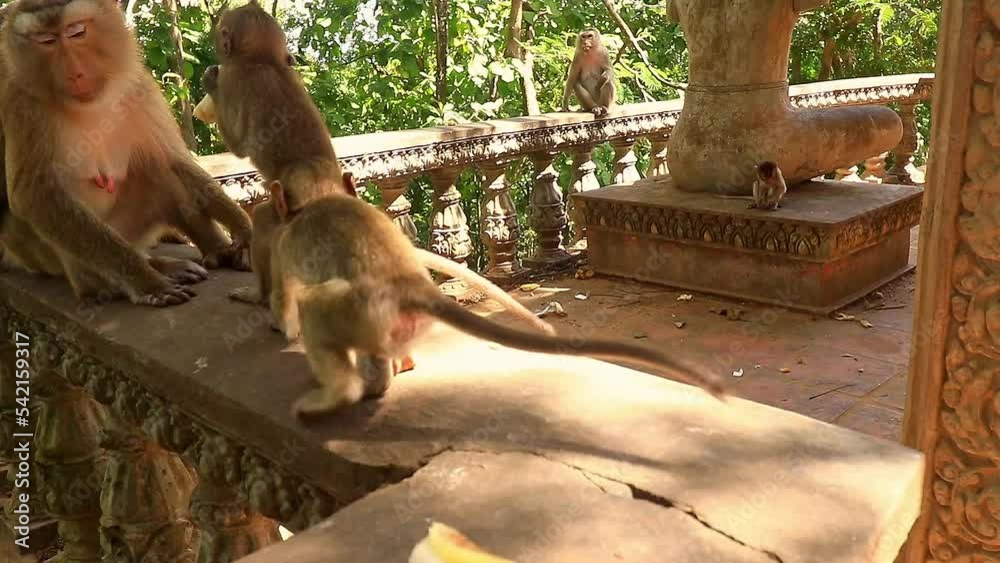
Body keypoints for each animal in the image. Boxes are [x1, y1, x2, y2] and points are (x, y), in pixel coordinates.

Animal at [0, 0, 254, 307]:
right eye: (46, 41)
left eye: (76, 32)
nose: (74, 72)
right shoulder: (21, 102)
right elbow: (35, 194)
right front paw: (149, 283)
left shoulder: (139, 86)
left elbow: (173, 159)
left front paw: (245, 232)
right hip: (49, 254)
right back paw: (129, 277)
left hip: (132, 231)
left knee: (158, 171)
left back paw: (216, 252)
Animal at [263, 183, 726, 419]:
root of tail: (412, 284)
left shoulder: (282, 247)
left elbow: (283, 299)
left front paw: (276, 323)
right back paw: (389, 373)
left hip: (357, 309)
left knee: (315, 309)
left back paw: (337, 395)